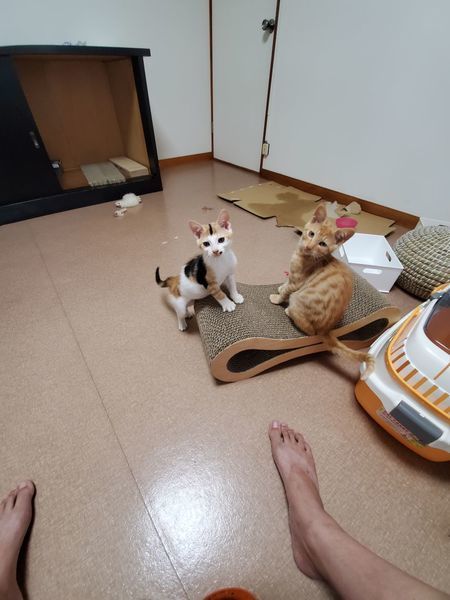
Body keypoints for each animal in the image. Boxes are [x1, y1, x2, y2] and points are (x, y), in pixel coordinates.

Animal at [270, 203, 374, 377]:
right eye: (311, 234)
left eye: (322, 244)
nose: (309, 246)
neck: (303, 255)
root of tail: (326, 329)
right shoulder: (292, 277)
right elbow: (286, 283)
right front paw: (280, 287)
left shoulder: (297, 283)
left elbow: (286, 291)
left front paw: (277, 298)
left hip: (298, 299)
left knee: (310, 330)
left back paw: (289, 311)